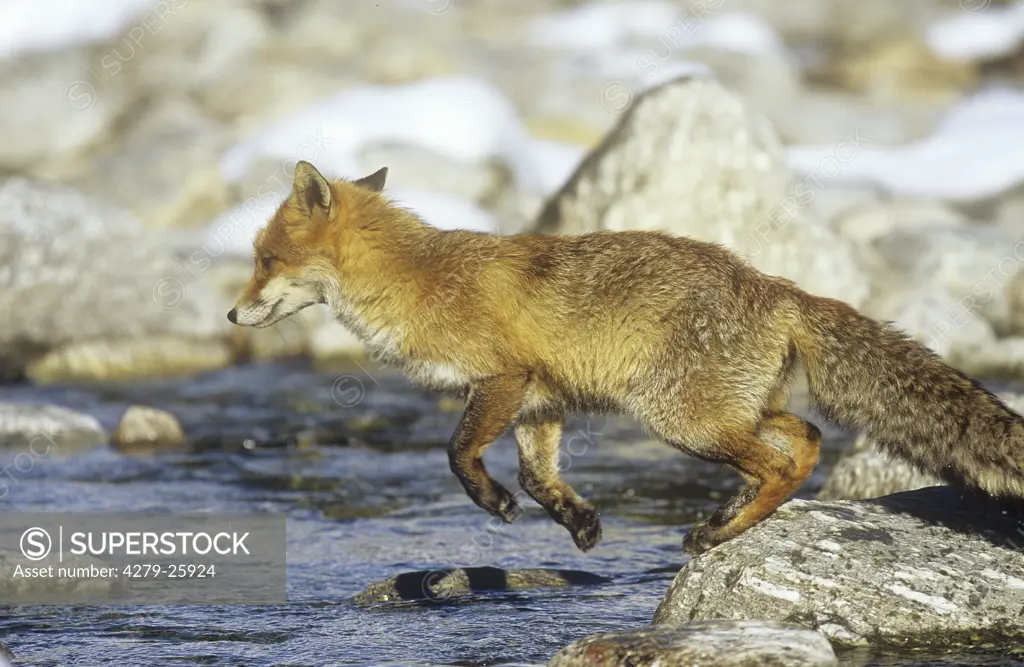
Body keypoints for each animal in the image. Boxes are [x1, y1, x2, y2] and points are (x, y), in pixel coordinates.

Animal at [230, 163, 1024, 557]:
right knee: (805, 440)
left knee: (779, 461)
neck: (417, 281)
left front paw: (493, 503)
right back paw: (732, 517)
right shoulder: (540, 402)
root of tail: (778, 286)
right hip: (732, 410)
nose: (233, 317)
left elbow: (458, 455)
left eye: (265, 260)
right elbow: (539, 475)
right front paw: (578, 523)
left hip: (679, 419)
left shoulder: (503, 379)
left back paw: (722, 531)